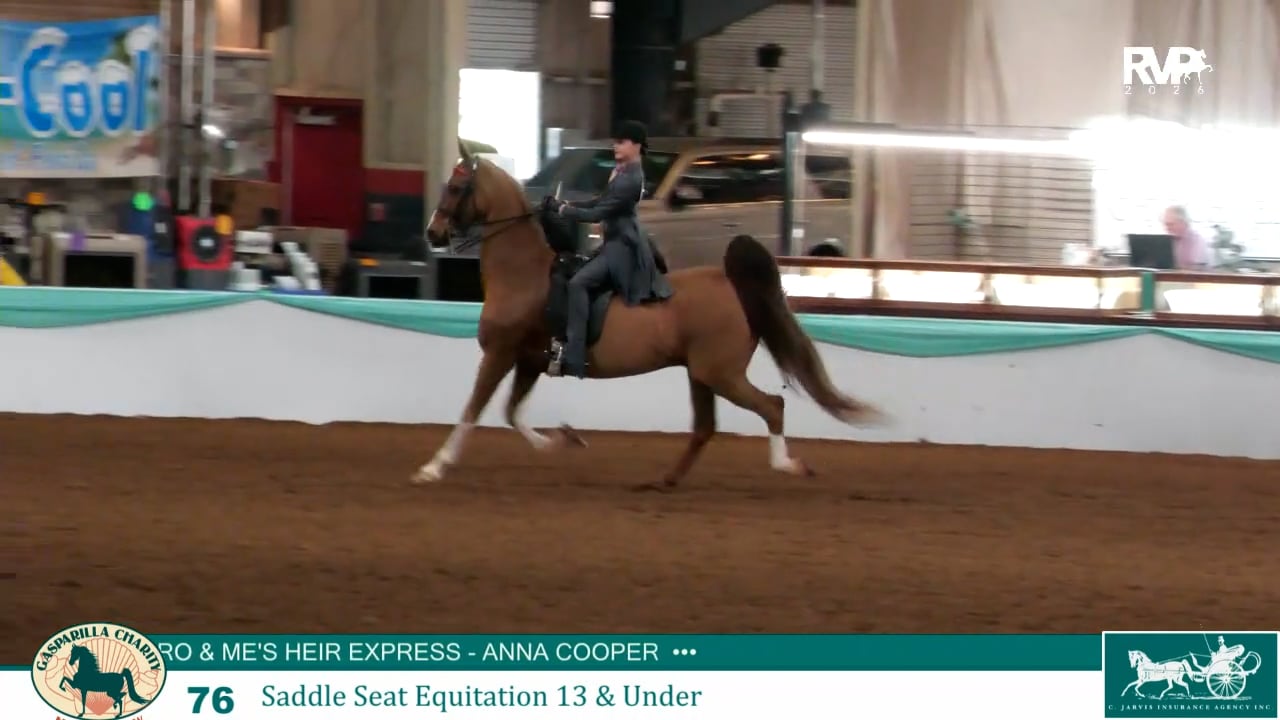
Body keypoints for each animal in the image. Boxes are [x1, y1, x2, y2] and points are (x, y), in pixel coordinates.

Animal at [415, 140, 882, 489]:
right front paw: (561, 441)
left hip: (719, 373)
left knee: (773, 406)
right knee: (706, 427)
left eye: (455, 187)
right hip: (701, 374)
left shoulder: (499, 354)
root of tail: (728, 282)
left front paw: (433, 467)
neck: (523, 274)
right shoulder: (528, 361)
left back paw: (787, 465)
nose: (433, 233)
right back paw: (665, 480)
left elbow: (473, 410)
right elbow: (510, 413)